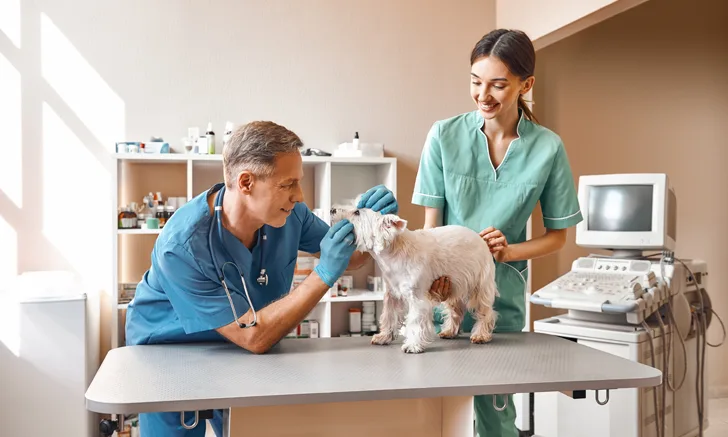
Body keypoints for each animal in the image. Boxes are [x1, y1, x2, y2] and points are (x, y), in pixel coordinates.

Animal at [332, 199, 498, 352]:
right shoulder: (392, 294)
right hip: (454, 284)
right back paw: (449, 331)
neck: (393, 254)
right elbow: (389, 315)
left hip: (481, 284)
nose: (332, 209)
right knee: (456, 309)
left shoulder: (417, 297)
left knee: (485, 311)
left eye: (357, 212)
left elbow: (415, 322)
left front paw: (412, 345)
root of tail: (481, 239)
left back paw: (481, 335)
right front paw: (383, 337)